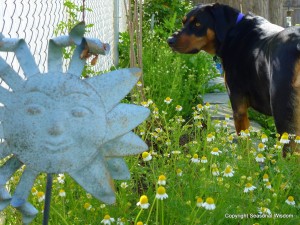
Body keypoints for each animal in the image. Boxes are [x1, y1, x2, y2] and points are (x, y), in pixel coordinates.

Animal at [168, 3, 300, 155]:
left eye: (197, 24)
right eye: (183, 22)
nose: (169, 40)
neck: (232, 31)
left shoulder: (238, 108)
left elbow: (244, 145)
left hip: (284, 116)